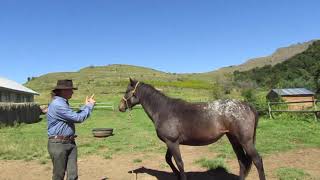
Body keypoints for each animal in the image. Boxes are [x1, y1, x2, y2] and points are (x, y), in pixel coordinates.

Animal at [119, 79, 266, 180]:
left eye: (126, 91)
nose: (120, 107)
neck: (163, 110)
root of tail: (247, 105)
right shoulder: (170, 142)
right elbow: (168, 159)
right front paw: (177, 176)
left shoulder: (172, 142)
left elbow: (179, 163)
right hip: (233, 139)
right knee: (242, 161)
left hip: (245, 141)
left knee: (257, 160)